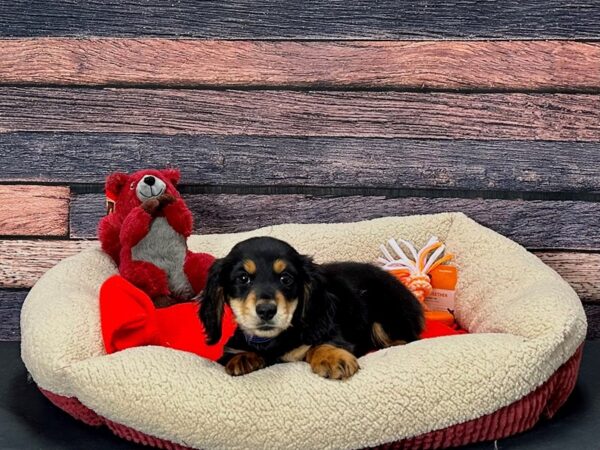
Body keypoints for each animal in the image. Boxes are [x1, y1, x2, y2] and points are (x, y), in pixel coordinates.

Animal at [199, 236, 424, 380]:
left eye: (286, 279)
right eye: (243, 278)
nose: (266, 311)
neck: (273, 340)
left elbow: (317, 345)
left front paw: (333, 358)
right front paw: (242, 358)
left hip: (386, 319)